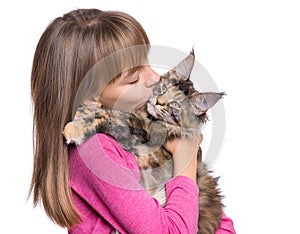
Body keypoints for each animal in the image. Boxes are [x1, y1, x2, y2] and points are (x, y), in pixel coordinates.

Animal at [64, 51, 226, 234]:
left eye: (175, 105)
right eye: (163, 88)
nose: (158, 102)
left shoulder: (134, 129)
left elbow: (108, 114)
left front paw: (75, 128)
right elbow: (101, 110)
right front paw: (82, 110)